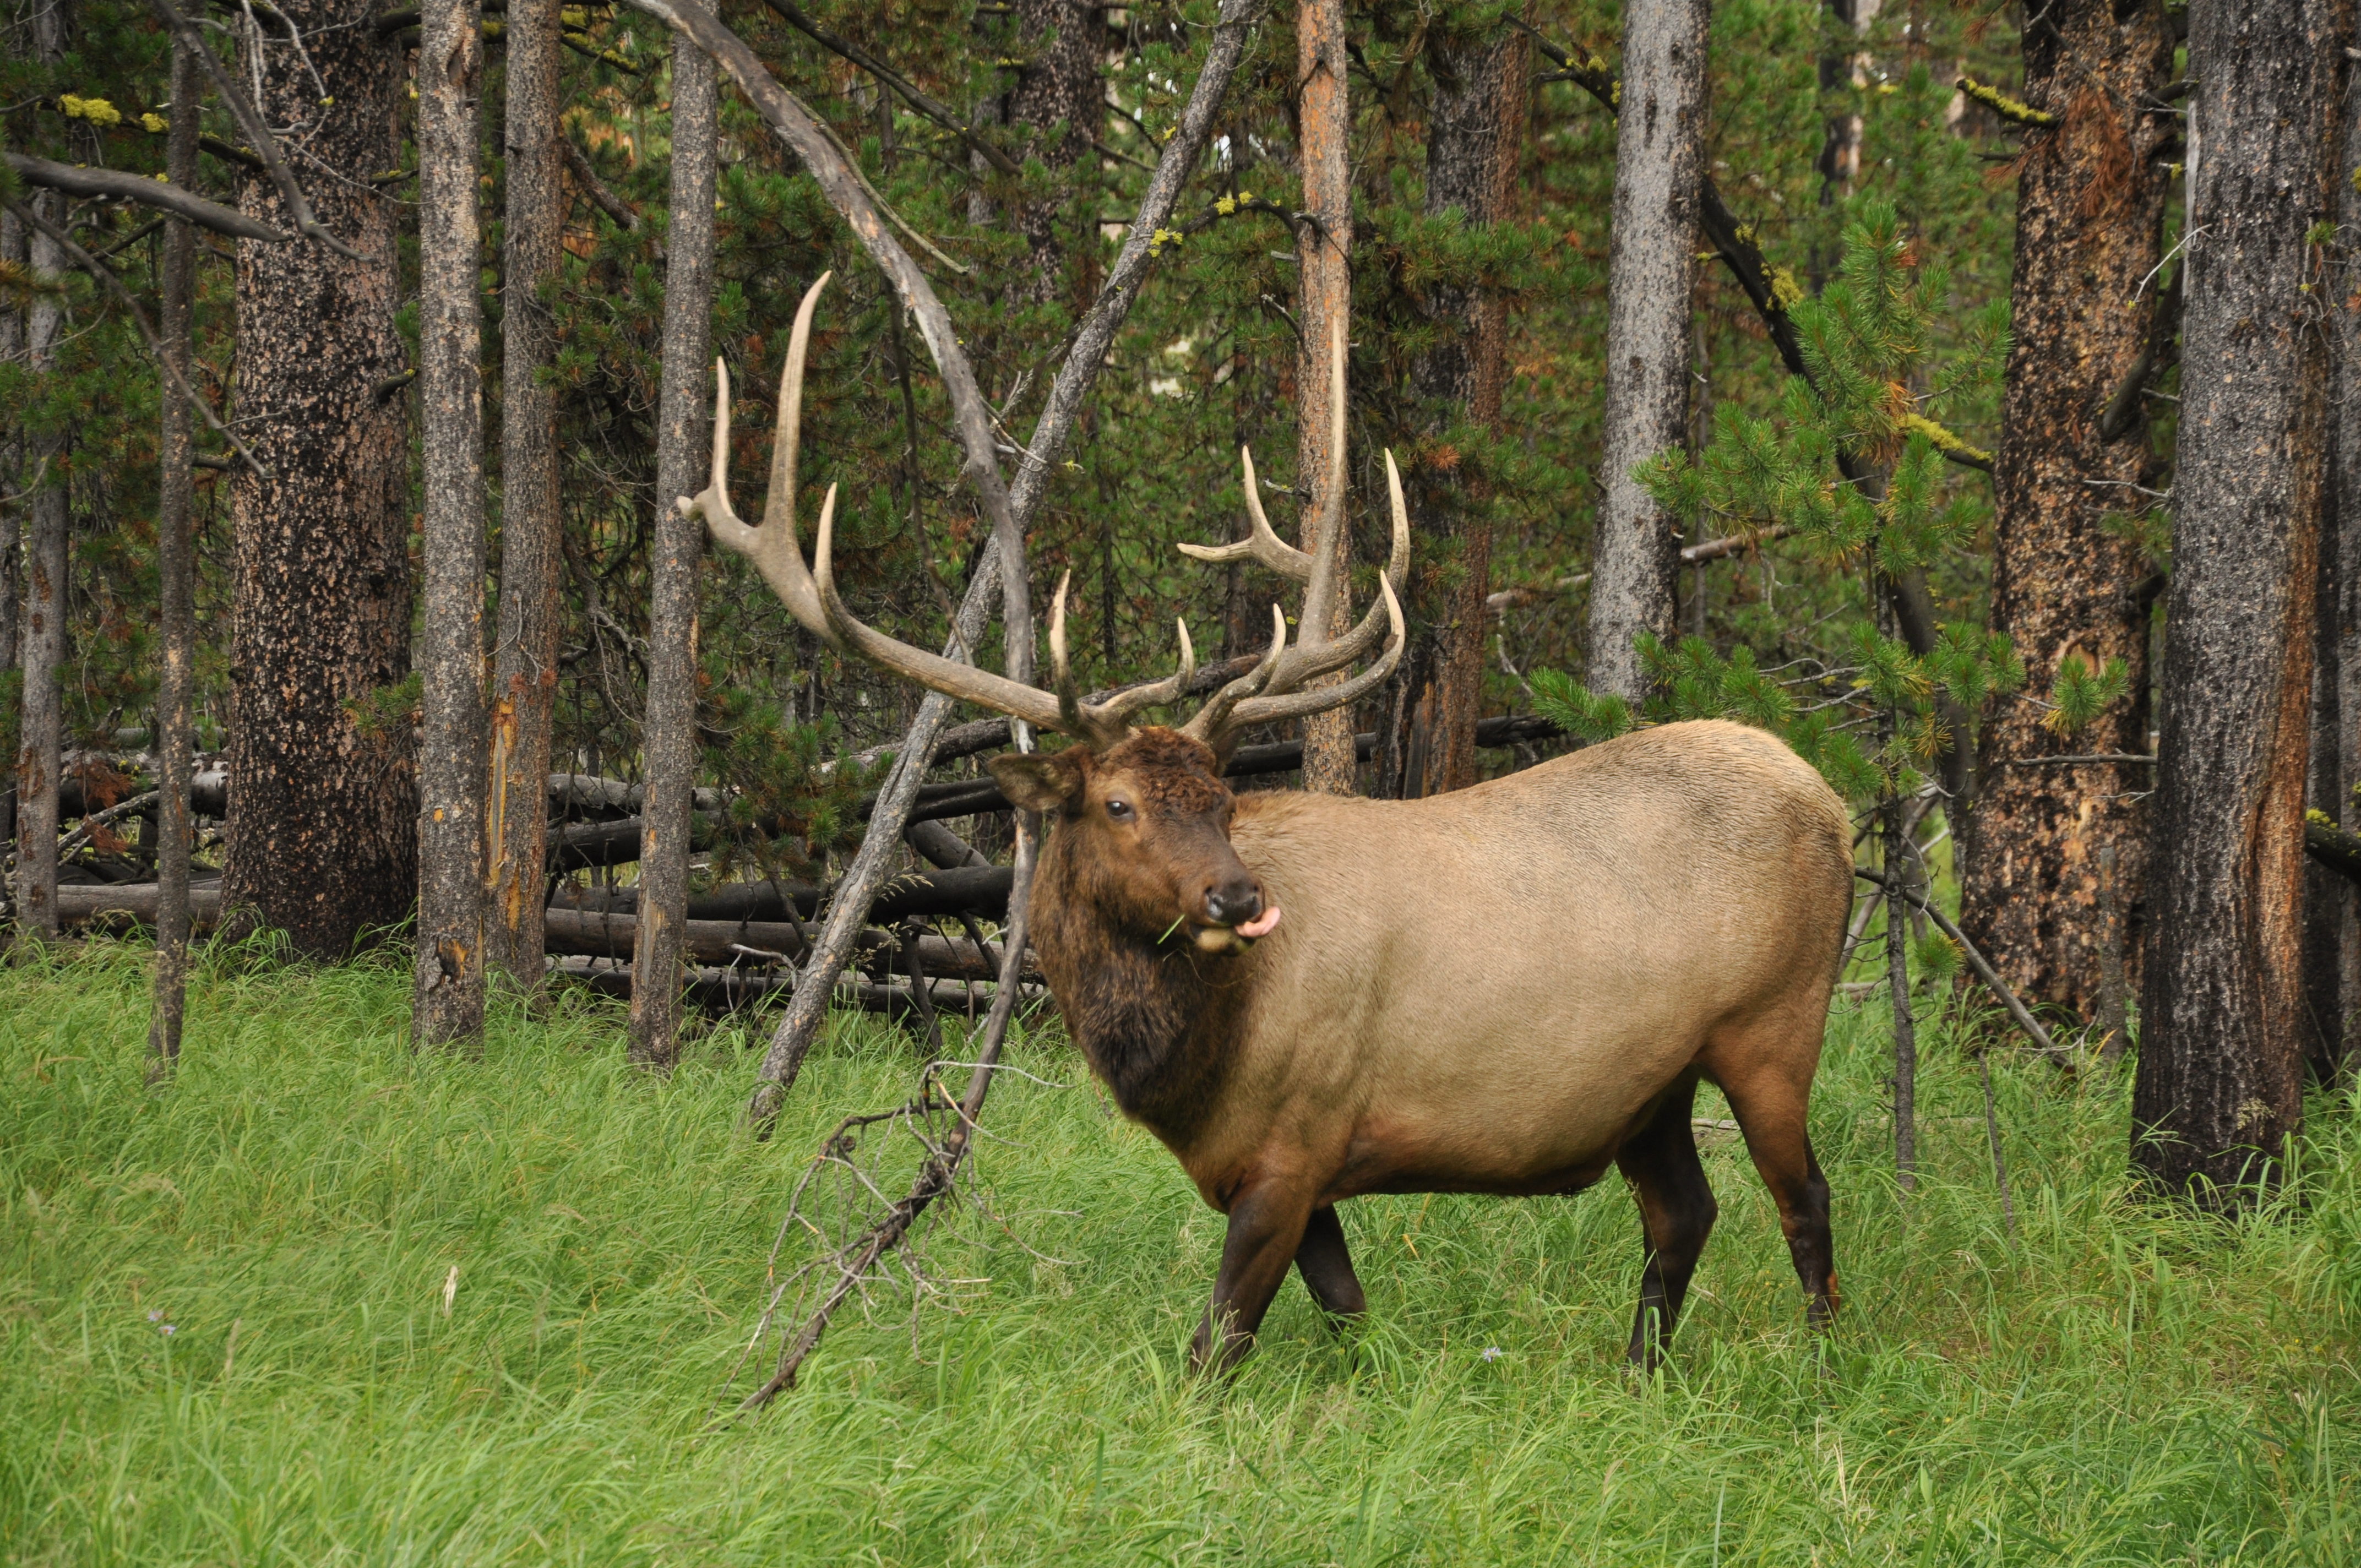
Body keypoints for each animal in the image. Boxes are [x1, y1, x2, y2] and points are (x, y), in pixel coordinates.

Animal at [689, 279, 1851, 1369]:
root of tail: (1832, 803)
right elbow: (1347, 1316)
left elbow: (1218, 1344)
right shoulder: (1277, 1166)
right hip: (1647, 1087)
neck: (1190, 1064)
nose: (1238, 894)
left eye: (1220, 798)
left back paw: (1825, 1362)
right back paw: (1640, 1368)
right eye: (1117, 803)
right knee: (1682, 1212)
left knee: (1805, 1198)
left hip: (1772, 1023)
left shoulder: (1299, 1139)